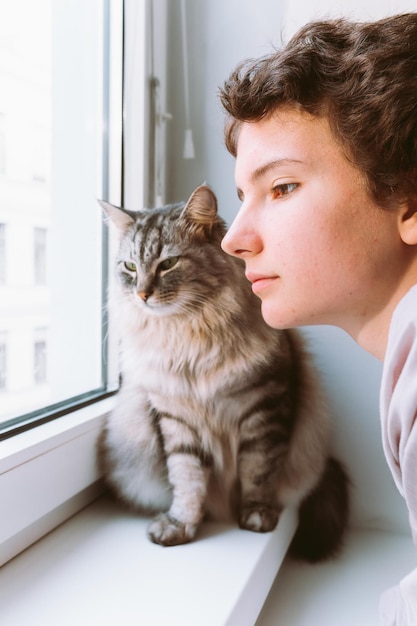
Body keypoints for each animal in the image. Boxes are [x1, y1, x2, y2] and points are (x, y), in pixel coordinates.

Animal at [97, 183, 348, 560]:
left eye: (168, 264)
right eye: (129, 266)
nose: (141, 294)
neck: (187, 339)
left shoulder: (265, 407)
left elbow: (258, 470)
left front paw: (256, 515)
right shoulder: (175, 419)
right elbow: (187, 480)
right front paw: (181, 525)